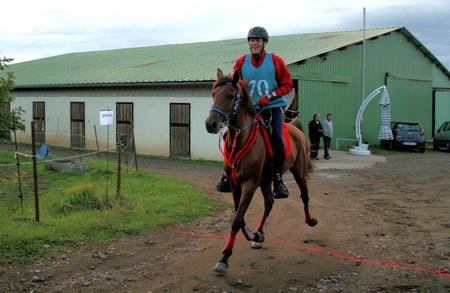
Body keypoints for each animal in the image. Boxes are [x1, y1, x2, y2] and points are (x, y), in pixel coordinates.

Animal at [204, 69, 316, 274]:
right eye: (214, 94)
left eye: (230, 96)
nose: (211, 124)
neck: (241, 139)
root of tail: (296, 128)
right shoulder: (235, 185)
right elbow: (239, 218)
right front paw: (252, 236)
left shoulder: (249, 184)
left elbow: (237, 219)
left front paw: (224, 258)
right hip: (266, 180)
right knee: (269, 202)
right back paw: (260, 235)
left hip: (298, 171)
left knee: (304, 195)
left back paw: (310, 220)